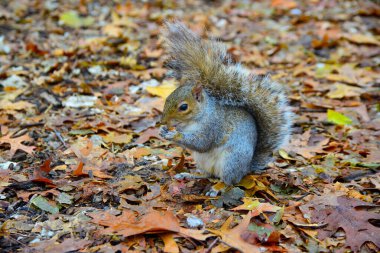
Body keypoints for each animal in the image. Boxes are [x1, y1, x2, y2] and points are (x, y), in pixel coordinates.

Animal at [159, 21, 292, 185]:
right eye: (167, 98)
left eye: (183, 107)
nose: (162, 121)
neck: (197, 118)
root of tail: (246, 168)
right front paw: (163, 131)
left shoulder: (213, 127)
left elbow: (201, 143)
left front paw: (174, 135)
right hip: (202, 161)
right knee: (208, 175)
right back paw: (190, 175)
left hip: (231, 161)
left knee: (228, 181)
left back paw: (218, 188)